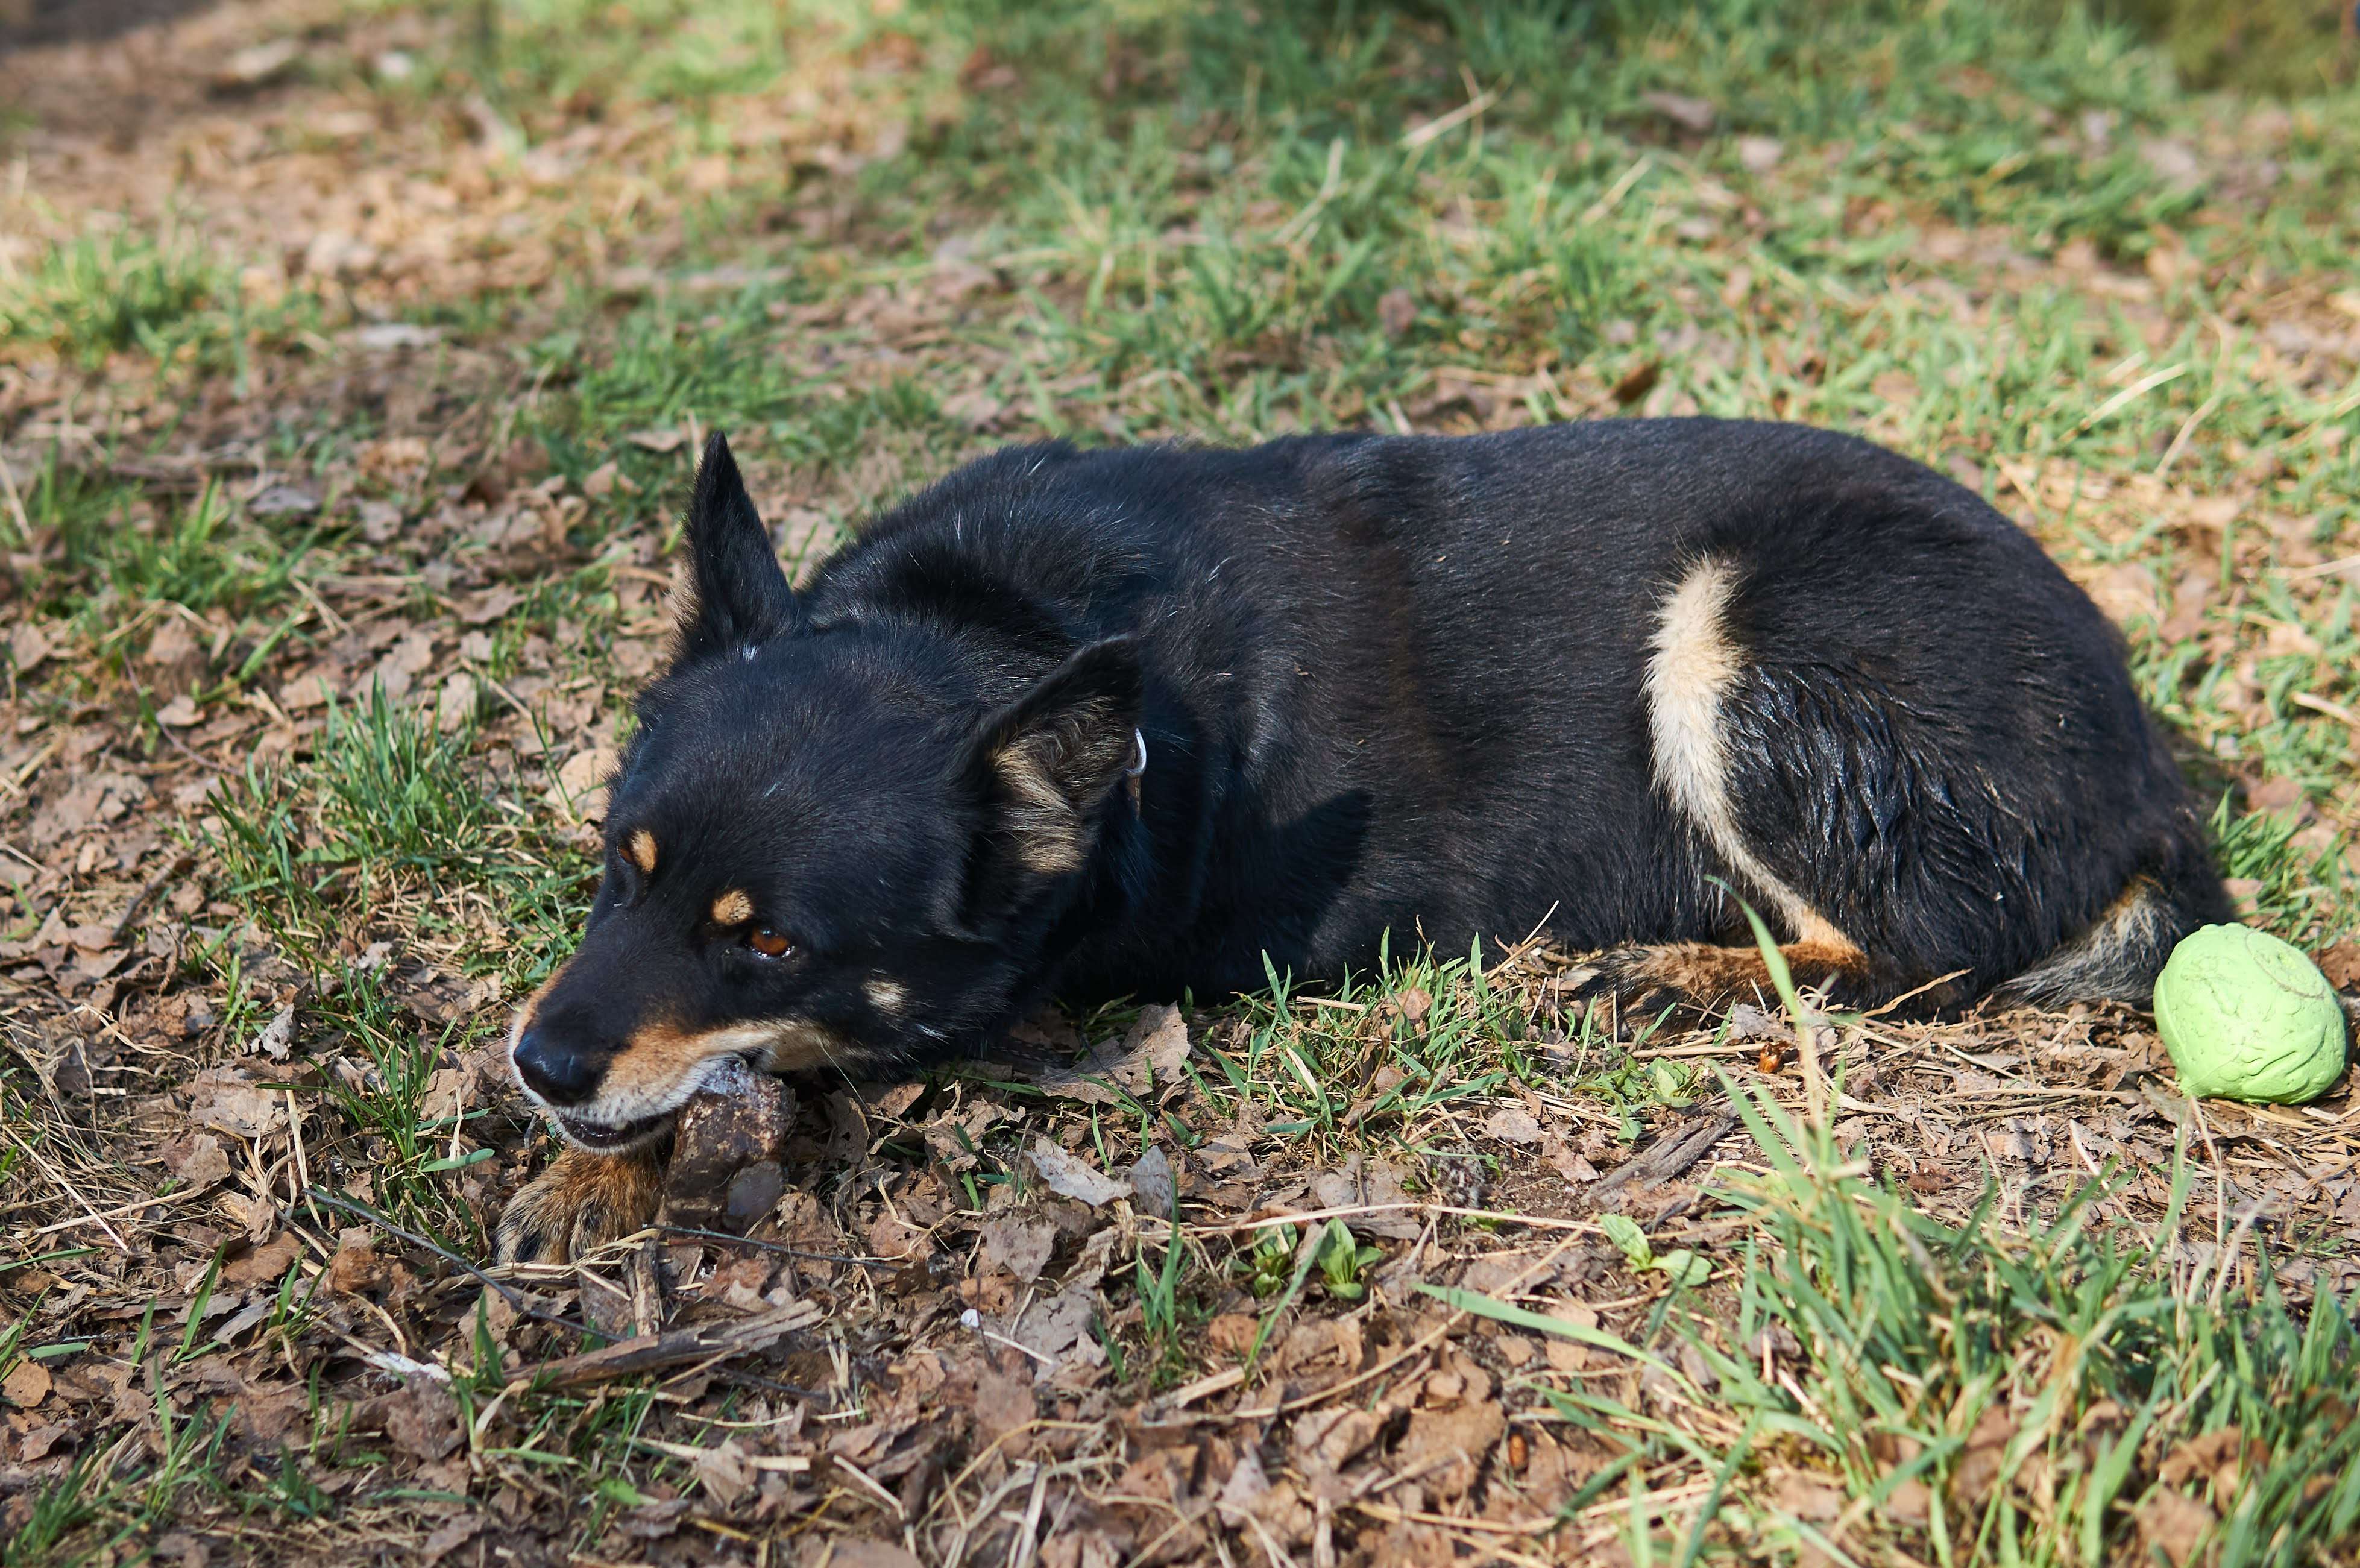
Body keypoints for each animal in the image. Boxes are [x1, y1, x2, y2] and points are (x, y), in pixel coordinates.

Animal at [488, 420, 2218, 1265]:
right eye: (617, 865)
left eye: (773, 941)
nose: (540, 1070)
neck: (994, 628)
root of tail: (2146, 768)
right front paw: (590, 1170)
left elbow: (786, 1060)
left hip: (1741, 636)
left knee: (1928, 959)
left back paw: (1689, 978)